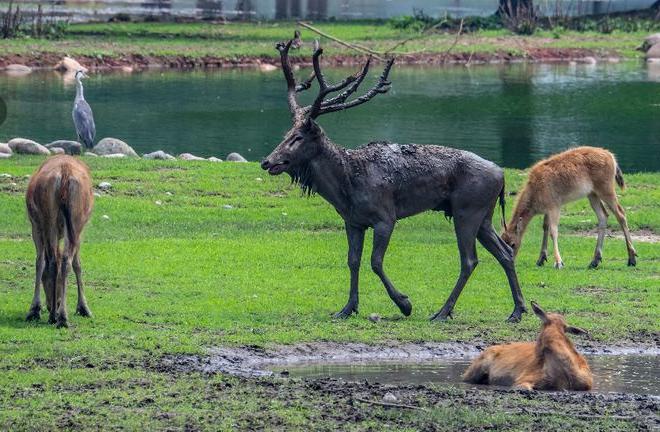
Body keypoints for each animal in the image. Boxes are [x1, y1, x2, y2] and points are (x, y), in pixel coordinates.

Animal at [25, 155, 94, 328]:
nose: (52, 304)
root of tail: (64, 174)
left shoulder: (36, 225)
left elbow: (40, 262)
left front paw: (36, 309)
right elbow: (77, 264)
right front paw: (83, 307)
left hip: (51, 221)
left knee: (54, 260)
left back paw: (55, 316)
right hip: (74, 220)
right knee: (63, 260)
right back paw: (60, 316)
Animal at [260, 33, 528, 322]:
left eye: (298, 137)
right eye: (286, 134)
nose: (268, 162)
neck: (346, 187)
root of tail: (501, 175)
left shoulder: (385, 217)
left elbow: (375, 262)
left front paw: (404, 304)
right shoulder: (353, 221)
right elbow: (352, 261)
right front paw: (347, 308)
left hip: (467, 210)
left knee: (469, 260)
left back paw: (443, 311)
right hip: (483, 216)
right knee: (505, 252)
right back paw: (517, 310)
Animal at [502, 147, 636, 268]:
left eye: (513, 244)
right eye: (503, 240)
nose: (510, 260)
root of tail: (612, 157)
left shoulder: (554, 206)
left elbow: (553, 231)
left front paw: (558, 262)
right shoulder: (547, 209)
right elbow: (545, 227)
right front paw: (541, 259)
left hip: (606, 189)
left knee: (621, 214)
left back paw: (632, 259)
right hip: (592, 194)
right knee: (603, 216)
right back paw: (594, 261)